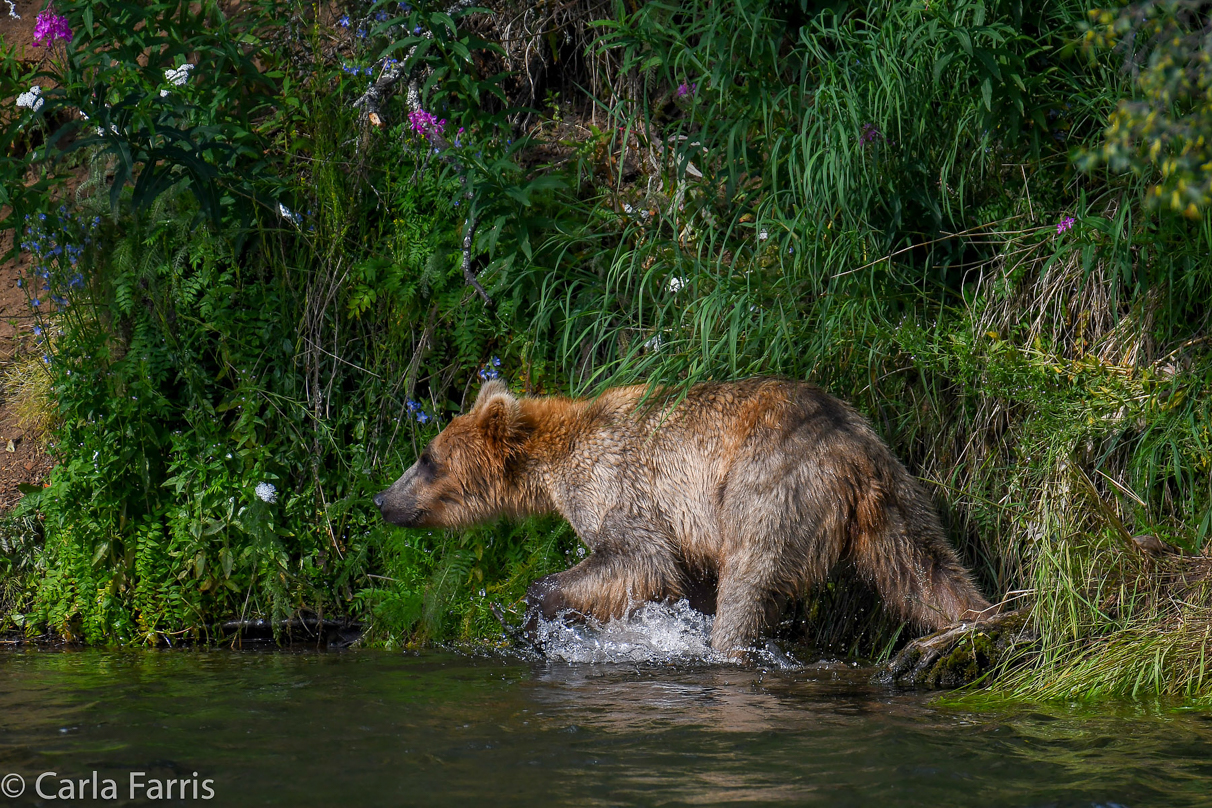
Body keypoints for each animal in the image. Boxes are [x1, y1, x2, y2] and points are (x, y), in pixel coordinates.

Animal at [373, 377, 988, 649]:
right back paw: (981, 619)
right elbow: (684, 582)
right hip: (896, 493)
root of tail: (846, 453)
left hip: (767, 494)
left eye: (426, 458)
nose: (382, 499)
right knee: (924, 568)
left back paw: (728, 648)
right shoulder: (685, 532)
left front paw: (542, 607)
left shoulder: (621, 488)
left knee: (748, 581)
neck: (553, 464)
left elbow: (636, 560)